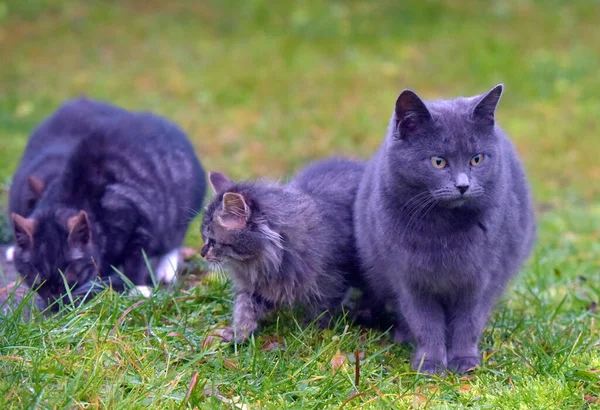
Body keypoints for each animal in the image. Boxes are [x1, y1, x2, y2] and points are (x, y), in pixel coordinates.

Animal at [9, 97, 204, 306]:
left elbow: (136, 258)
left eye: (69, 274)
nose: (55, 299)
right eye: (36, 277)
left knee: (174, 238)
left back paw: (166, 269)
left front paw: (137, 288)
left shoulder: (139, 222)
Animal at [199, 159, 364, 342]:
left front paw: (311, 332)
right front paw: (237, 333)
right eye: (203, 237)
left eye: (212, 241)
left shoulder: (332, 281)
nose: (202, 253)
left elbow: (322, 311)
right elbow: (244, 309)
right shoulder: (253, 288)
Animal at [354, 85, 536, 374]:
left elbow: (468, 321)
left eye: (477, 159)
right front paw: (430, 363)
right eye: (438, 161)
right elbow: (424, 323)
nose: (463, 185)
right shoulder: (409, 278)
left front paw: (464, 362)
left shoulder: (480, 276)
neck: (443, 232)